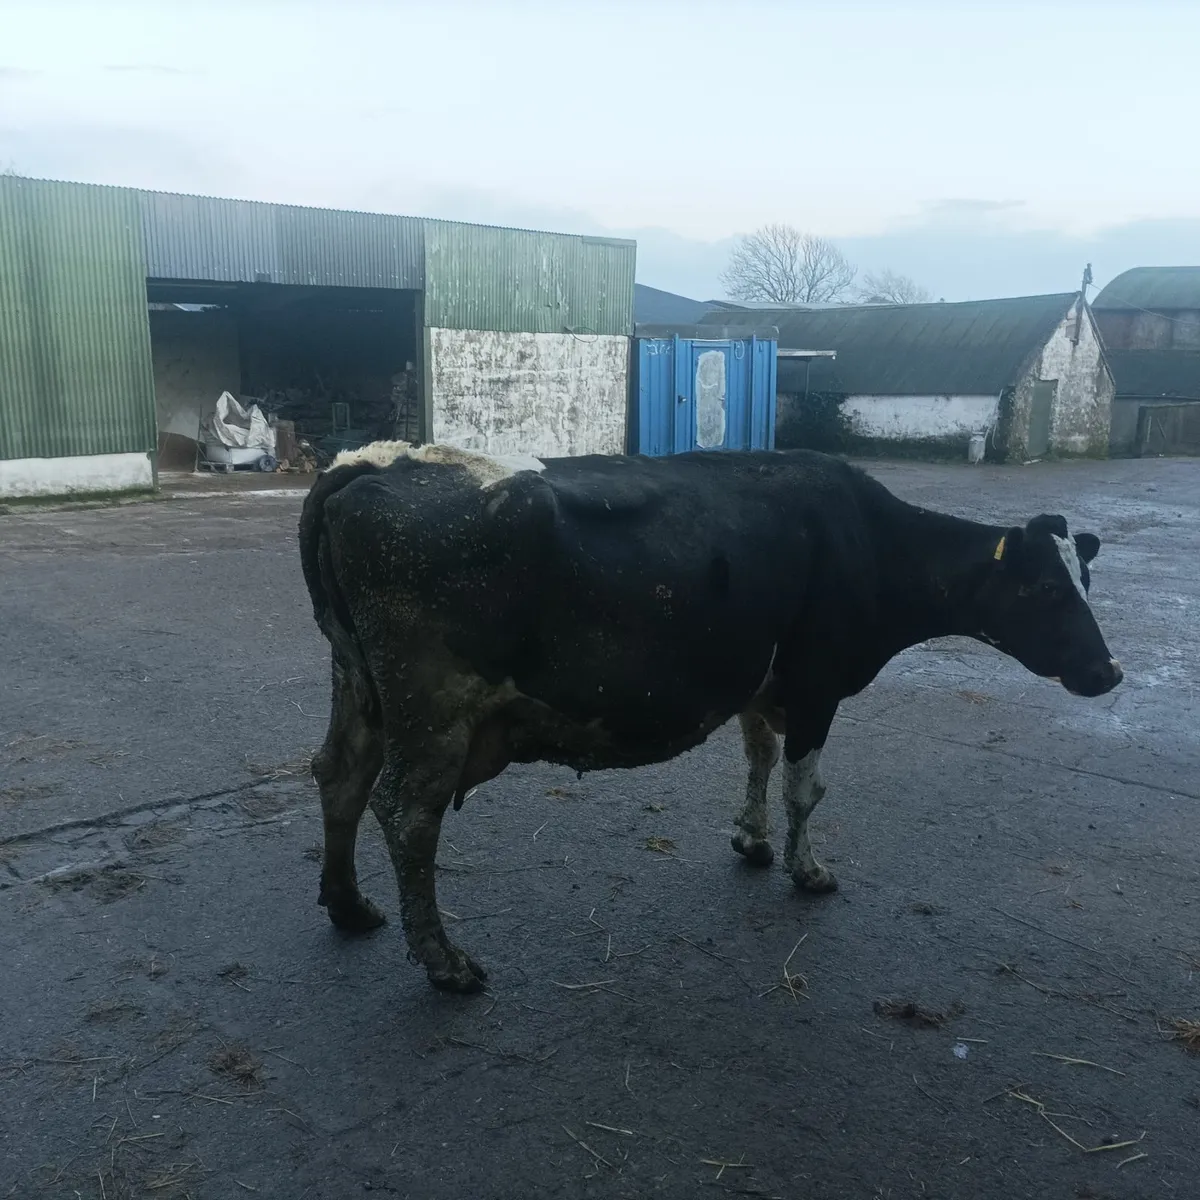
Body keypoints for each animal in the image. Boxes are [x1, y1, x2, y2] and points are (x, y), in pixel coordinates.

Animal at [298, 441, 1122, 993]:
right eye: (1047, 589)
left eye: (1085, 577)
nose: (1109, 672)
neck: (868, 540)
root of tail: (374, 463)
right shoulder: (817, 683)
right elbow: (804, 788)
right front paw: (807, 870)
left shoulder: (761, 683)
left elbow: (758, 757)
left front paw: (751, 840)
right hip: (432, 705)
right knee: (407, 814)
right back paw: (444, 962)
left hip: (359, 683)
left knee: (339, 776)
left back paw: (348, 906)